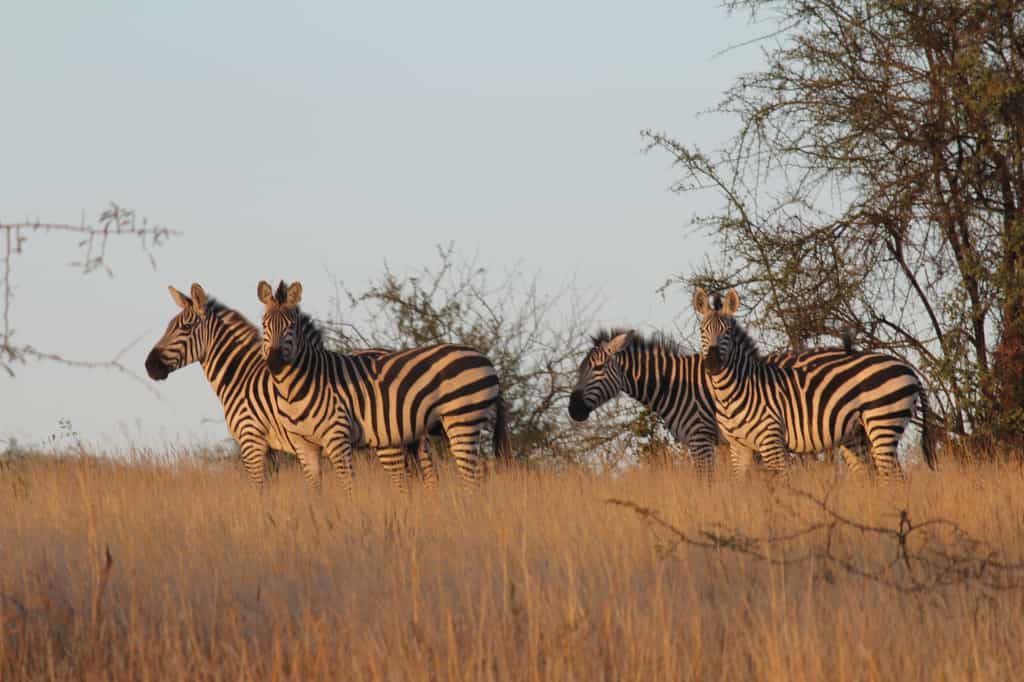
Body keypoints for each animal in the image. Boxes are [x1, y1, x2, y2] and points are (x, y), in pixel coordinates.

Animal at [145, 284, 438, 487]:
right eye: (169, 326)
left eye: (184, 328)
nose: (149, 366)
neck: (241, 376)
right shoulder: (270, 448)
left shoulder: (251, 440)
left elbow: (259, 490)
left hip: (389, 439)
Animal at [257, 279, 512, 492]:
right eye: (264, 324)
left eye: (291, 325)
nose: (274, 363)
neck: (295, 388)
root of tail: (485, 359)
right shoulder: (304, 444)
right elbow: (315, 490)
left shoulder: (337, 436)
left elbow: (348, 486)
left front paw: (350, 516)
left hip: (462, 419)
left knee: (472, 478)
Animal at [568, 329, 871, 478]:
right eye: (581, 369)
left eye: (596, 369)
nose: (573, 410)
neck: (673, 385)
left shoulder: (700, 438)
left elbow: (707, 483)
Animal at [692, 287, 935, 479]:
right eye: (702, 330)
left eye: (727, 332)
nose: (712, 364)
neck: (732, 392)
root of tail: (909, 369)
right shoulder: (738, 447)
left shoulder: (772, 441)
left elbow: (782, 486)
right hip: (860, 434)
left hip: (883, 422)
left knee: (894, 477)